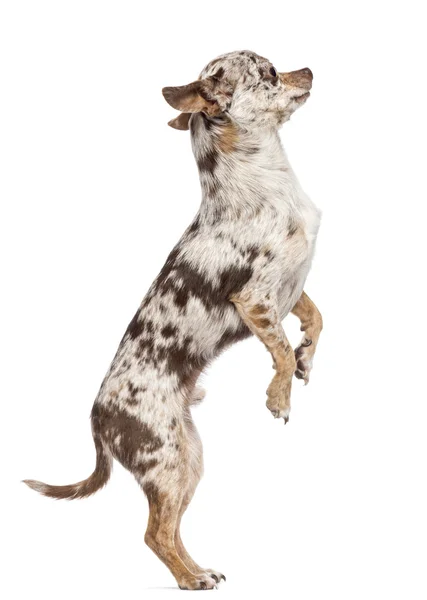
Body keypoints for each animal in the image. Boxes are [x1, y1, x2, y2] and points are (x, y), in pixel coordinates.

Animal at [23, 50, 322, 592]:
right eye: (269, 72)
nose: (308, 69)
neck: (271, 183)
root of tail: (97, 421)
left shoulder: (290, 287)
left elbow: (317, 318)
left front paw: (308, 353)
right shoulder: (256, 299)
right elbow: (280, 351)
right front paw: (279, 396)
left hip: (188, 462)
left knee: (168, 528)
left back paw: (196, 571)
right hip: (164, 463)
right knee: (153, 533)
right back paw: (190, 580)